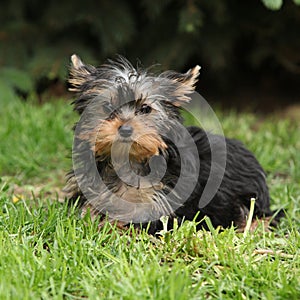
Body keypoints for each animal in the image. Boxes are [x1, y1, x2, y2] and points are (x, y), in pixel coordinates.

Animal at [64, 54, 282, 234]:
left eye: (145, 109)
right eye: (107, 106)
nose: (125, 129)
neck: (130, 160)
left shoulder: (161, 204)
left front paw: (110, 225)